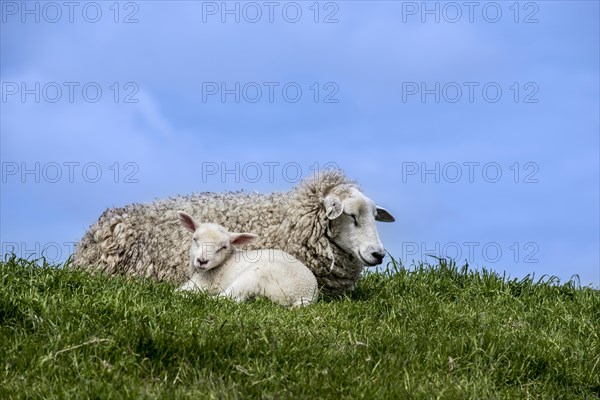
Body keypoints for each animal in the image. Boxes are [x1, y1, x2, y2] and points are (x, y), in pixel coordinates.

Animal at [176, 211, 318, 308]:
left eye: (223, 247)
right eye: (195, 239)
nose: (202, 261)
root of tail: (304, 296)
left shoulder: (202, 282)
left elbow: (178, 291)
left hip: (255, 276)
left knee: (226, 298)